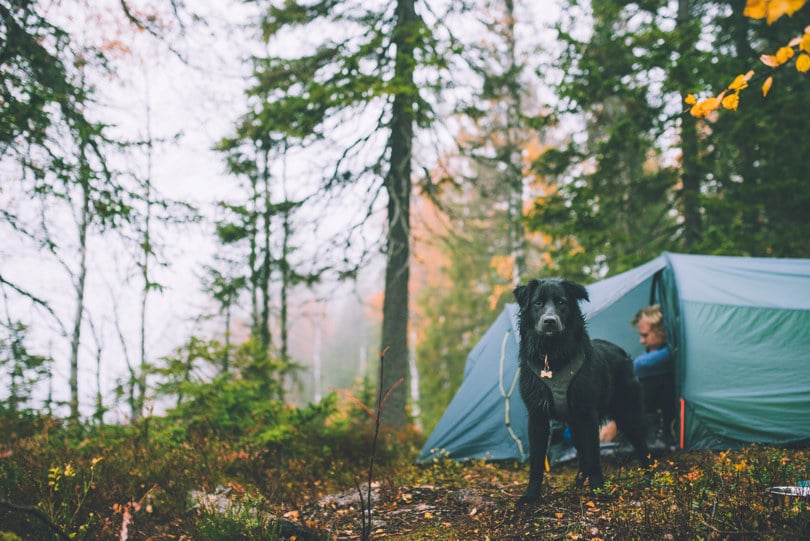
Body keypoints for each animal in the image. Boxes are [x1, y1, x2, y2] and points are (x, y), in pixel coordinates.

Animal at [516, 278, 648, 502]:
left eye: (561, 302)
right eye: (537, 303)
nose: (549, 321)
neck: (553, 355)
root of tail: (622, 353)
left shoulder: (587, 414)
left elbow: (594, 456)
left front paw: (599, 491)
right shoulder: (537, 416)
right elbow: (536, 461)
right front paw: (531, 495)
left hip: (627, 413)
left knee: (641, 444)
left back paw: (650, 474)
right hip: (574, 425)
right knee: (582, 456)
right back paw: (577, 484)